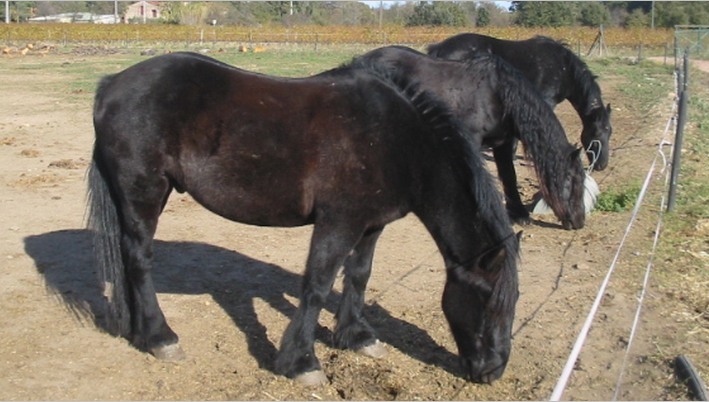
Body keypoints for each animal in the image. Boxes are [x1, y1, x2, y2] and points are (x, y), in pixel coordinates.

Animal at [87, 52, 520, 386]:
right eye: (489, 301)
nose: (493, 371)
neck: (398, 142)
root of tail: (111, 84)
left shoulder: (371, 225)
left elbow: (358, 276)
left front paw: (357, 337)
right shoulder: (338, 222)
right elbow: (317, 285)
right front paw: (301, 363)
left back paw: (140, 332)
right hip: (143, 192)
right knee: (139, 259)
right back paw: (160, 337)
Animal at [350, 46, 586, 229]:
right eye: (574, 181)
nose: (579, 221)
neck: (497, 94)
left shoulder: (503, 144)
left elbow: (509, 176)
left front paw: (520, 214)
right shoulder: (472, 140)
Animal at [428, 33, 612, 171]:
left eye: (609, 132)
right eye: (596, 134)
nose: (602, 165)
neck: (563, 69)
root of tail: (439, 47)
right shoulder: (545, 101)